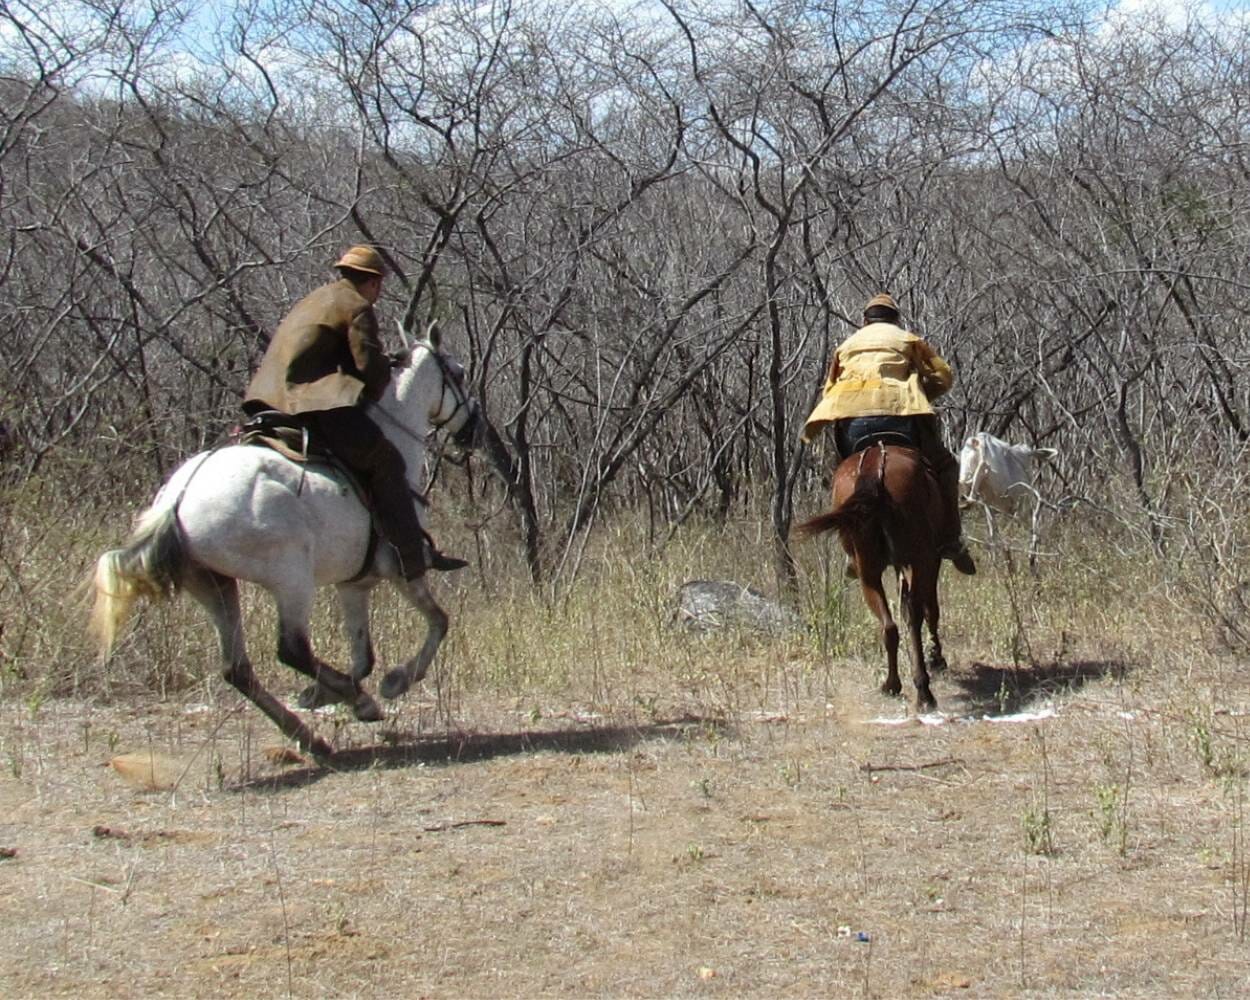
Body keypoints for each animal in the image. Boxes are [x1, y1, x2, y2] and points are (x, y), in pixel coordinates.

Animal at [88, 327, 477, 760]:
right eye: (459, 373)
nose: (473, 426)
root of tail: (176, 502)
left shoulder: (355, 584)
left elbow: (363, 656)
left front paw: (320, 693)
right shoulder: (400, 571)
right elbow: (438, 622)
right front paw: (393, 682)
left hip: (213, 584)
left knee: (238, 669)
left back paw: (309, 734)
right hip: (292, 582)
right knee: (291, 649)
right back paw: (359, 704)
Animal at [800, 442, 945, 710]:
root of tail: (873, 467)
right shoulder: (929, 561)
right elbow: (931, 609)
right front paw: (937, 657)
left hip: (869, 570)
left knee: (891, 625)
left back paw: (897, 685)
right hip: (918, 559)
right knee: (914, 616)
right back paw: (921, 689)